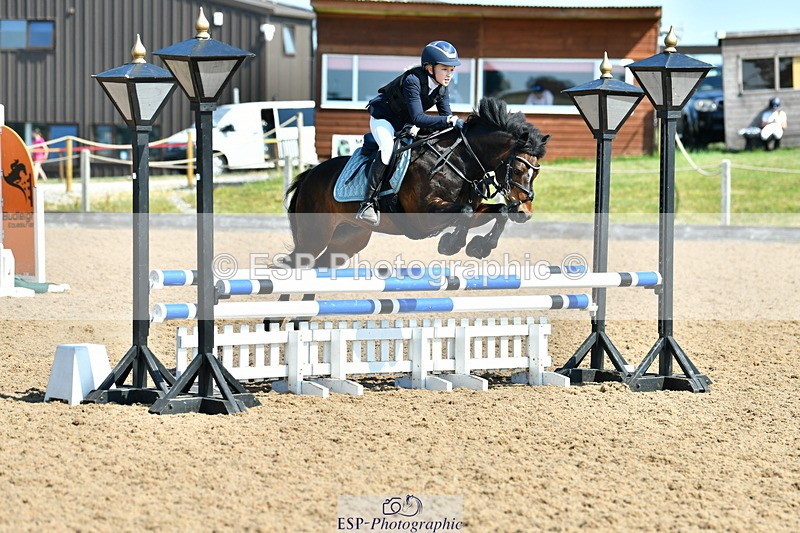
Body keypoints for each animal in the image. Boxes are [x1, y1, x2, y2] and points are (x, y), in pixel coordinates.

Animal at [283, 97, 550, 268]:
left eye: (536, 174)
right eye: (517, 170)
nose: (525, 213)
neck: (460, 160)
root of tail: (309, 175)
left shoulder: (474, 210)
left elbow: (500, 211)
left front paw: (479, 247)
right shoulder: (424, 215)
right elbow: (463, 212)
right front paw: (450, 244)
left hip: (348, 238)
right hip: (314, 235)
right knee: (297, 265)